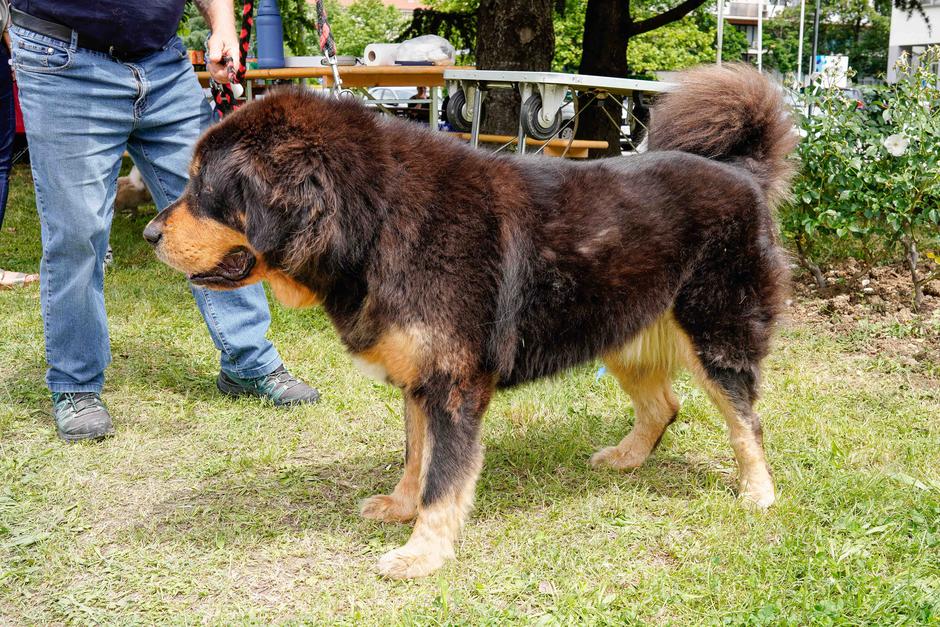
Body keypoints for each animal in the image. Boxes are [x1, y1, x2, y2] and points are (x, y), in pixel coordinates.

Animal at [143, 62, 796, 580]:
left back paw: (758, 493)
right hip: (618, 328)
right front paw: (401, 510)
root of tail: (744, 173)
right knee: (664, 406)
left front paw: (423, 553)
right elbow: (416, 458)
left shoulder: (455, 384)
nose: (150, 233)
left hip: (717, 337)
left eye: (203, 186)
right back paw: (629, 458)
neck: (376, 219)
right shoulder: (419, 381)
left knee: (748, 423)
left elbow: (444, 477)